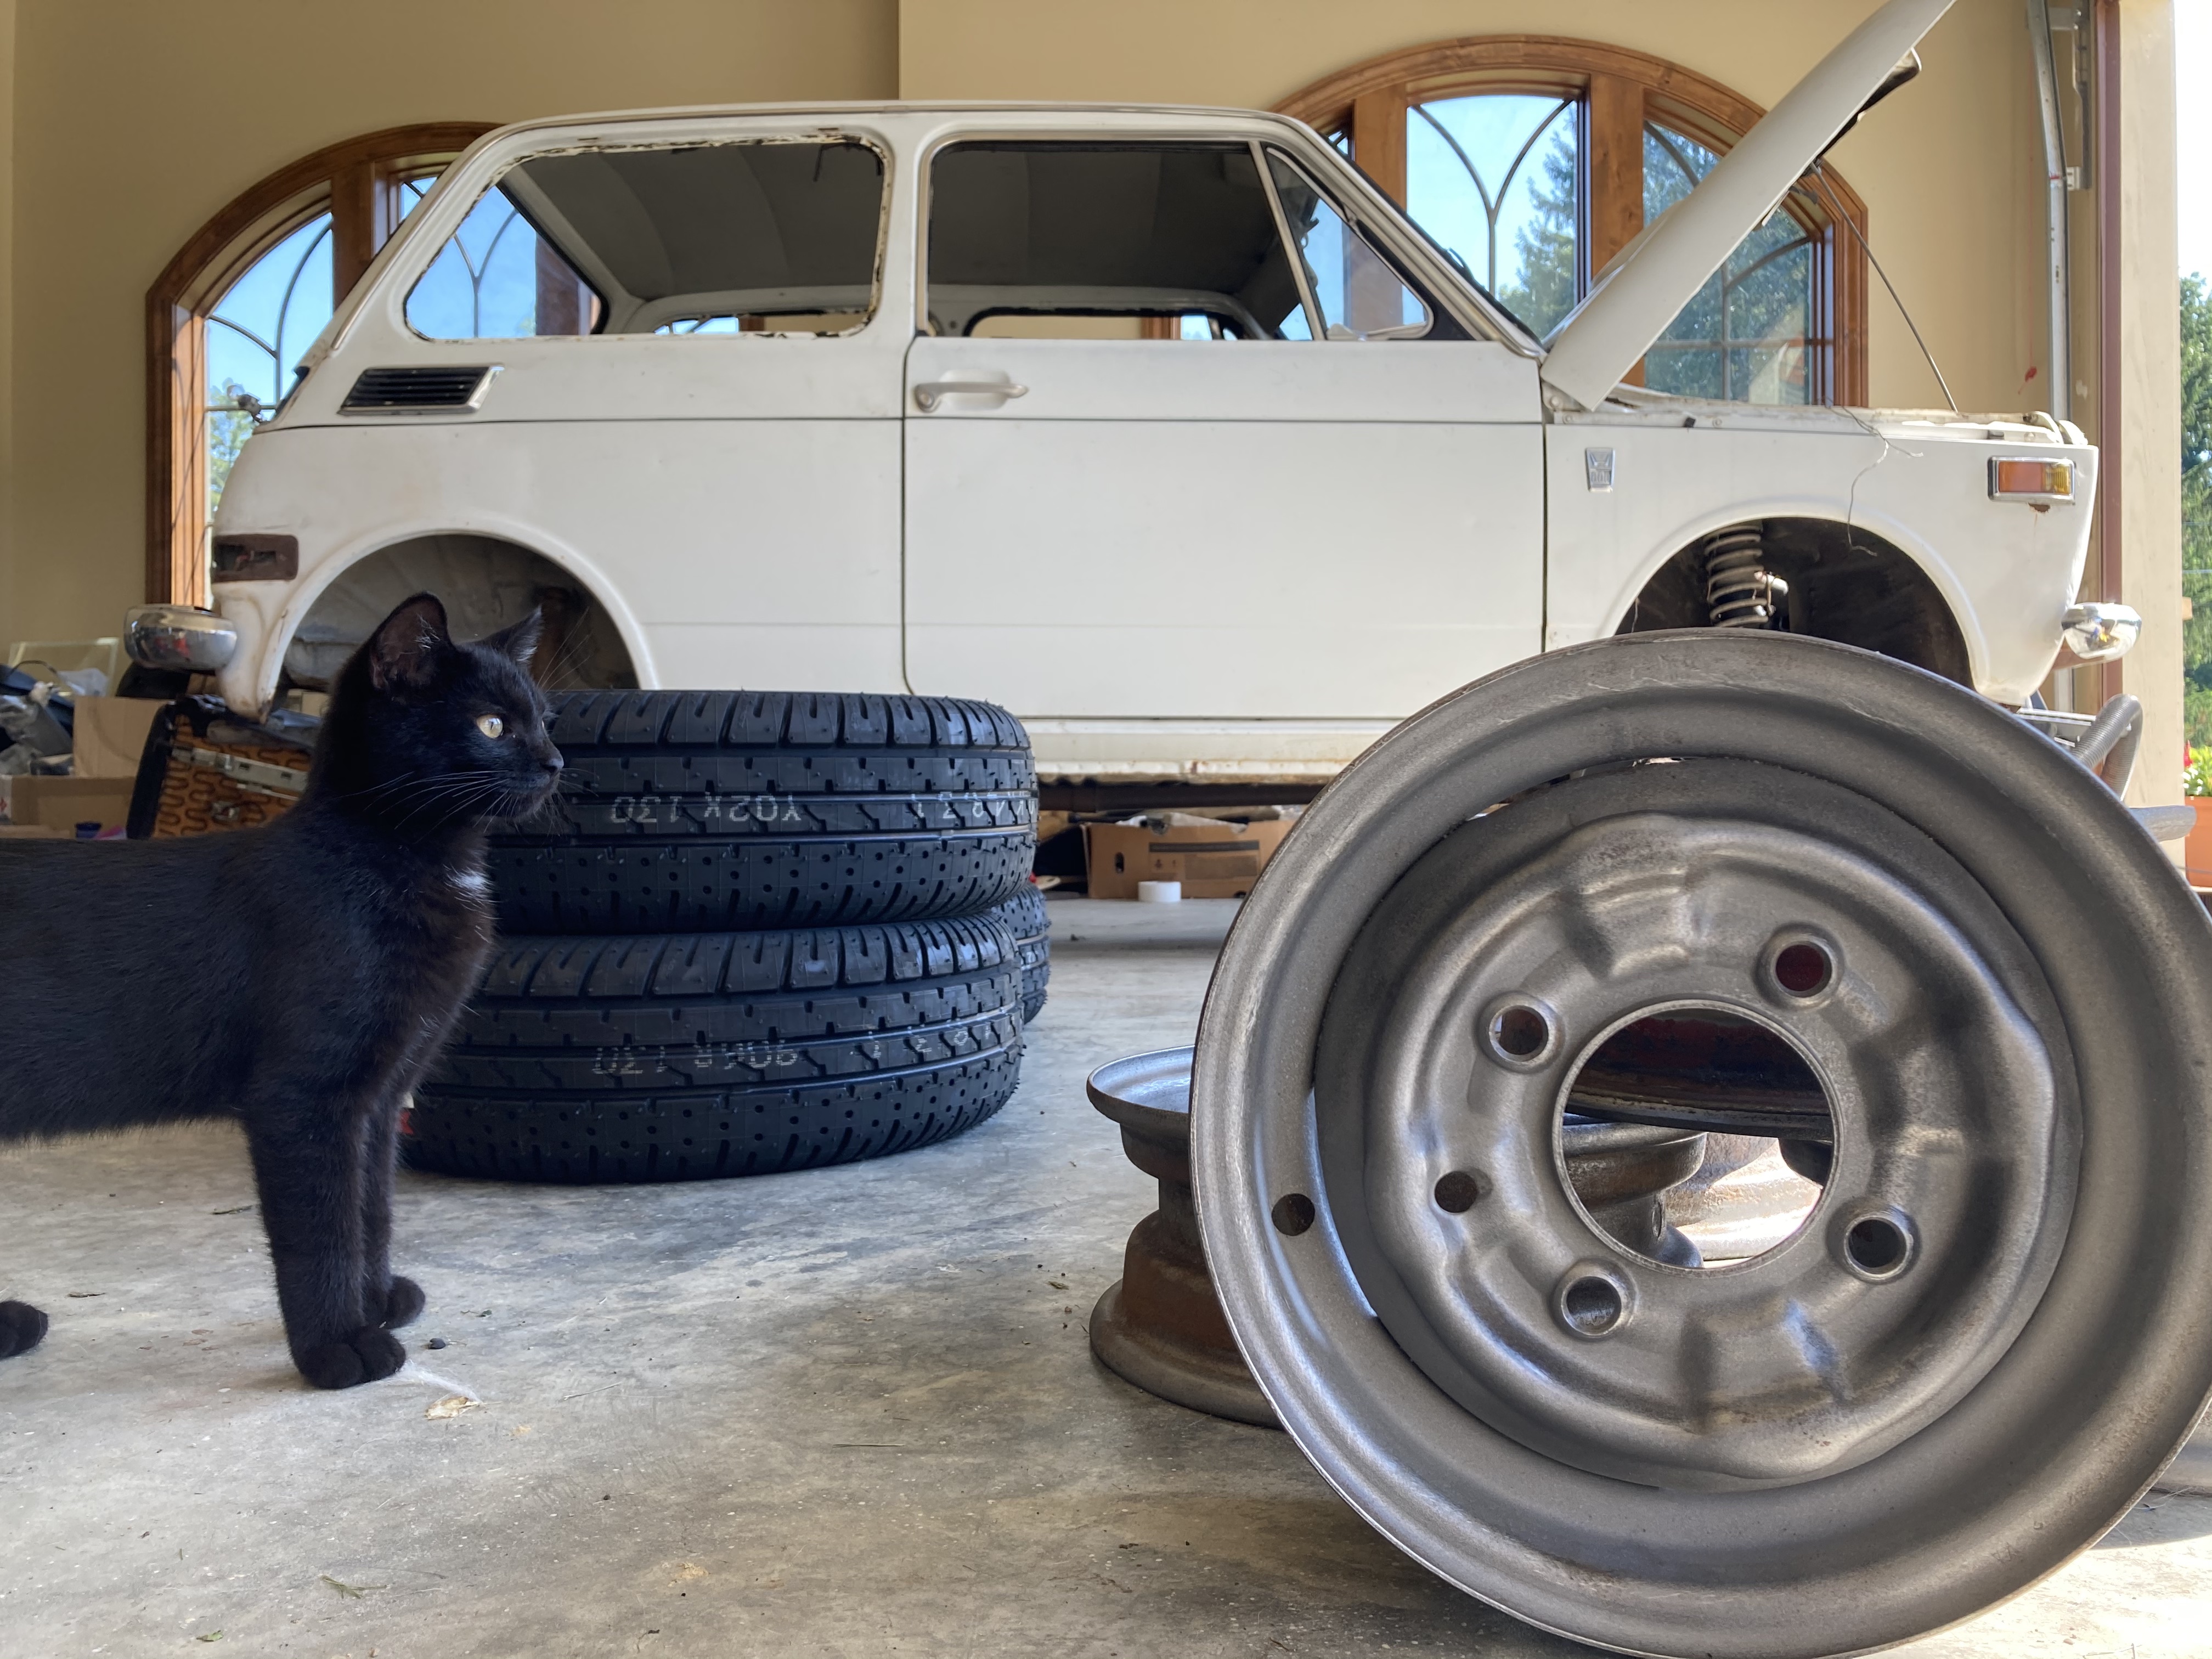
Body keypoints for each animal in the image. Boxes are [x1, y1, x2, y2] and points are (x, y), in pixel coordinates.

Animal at [0, 593, 561, 1388]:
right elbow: (320, 1228)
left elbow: (372, 1207)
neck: (398, 859)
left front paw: (376, 1300)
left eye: (546, 719)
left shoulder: (380, 1097)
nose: (556, 761)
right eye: (492, 725)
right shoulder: (301, 1098)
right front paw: (338, 1347)